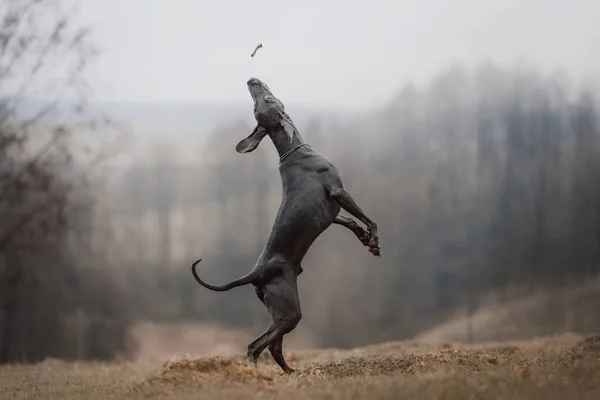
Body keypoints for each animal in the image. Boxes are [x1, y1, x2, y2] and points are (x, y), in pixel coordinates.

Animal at [192, 79, 380, 376]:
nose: (252, 80)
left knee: (273, 346)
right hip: (290, 312)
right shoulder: (338, 192)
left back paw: (291, 373)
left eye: (262, 101)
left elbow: (349, 222)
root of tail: (255, 273)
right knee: (256, 346)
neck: (296, 150)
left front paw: (363, 238)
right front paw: (373, 240)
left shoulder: (329, 212)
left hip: (277, 310)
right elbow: (366, 217)